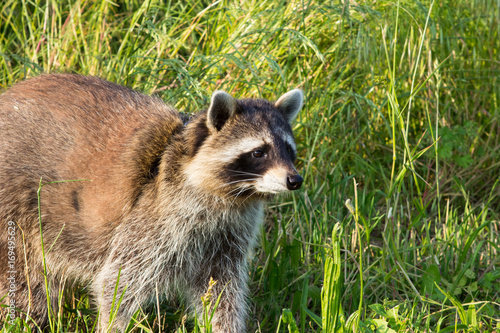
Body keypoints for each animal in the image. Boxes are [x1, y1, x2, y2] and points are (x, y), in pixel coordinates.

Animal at [0, 74, 302, 330]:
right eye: (258, 152)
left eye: (289, 150)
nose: (295, 180)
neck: (232, 197)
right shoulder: (153, 220)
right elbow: (118, 283)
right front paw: (111, 325)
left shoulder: (225, 236)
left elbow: (221, 292)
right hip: (16, 209)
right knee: (27, 285)